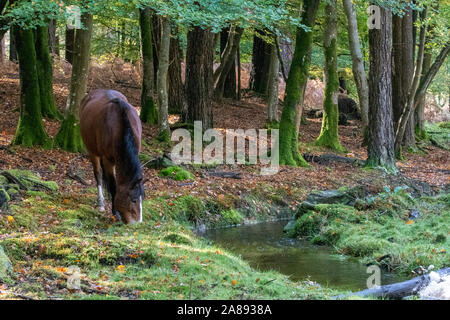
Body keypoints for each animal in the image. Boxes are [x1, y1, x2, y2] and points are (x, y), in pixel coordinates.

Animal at [80, 89, 144, 224]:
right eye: (134, 200)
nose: (138, 223)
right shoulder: (107, 160)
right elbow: (113, 186)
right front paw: (116, 213)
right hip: (92, 151)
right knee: (98, 174)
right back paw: (101, 203)